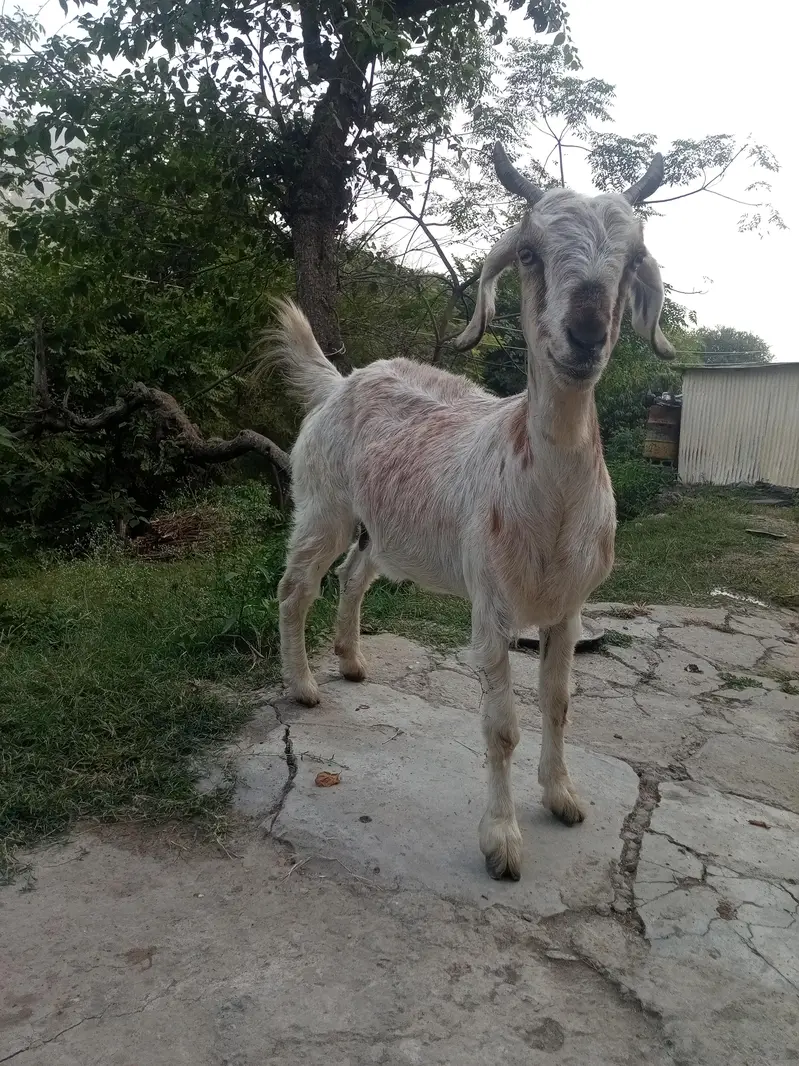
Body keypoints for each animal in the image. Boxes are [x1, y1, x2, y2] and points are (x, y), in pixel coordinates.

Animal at [268, 141, 673, 880]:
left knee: (354, 573)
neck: (550, 509)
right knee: (296, 585)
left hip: (386, 527)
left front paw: (562, 798)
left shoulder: (570, 609)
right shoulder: (492, 605)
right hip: (321, 503)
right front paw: (501, 839)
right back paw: (305, 685)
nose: (584, 333)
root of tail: (339, 381)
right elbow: (501, 727)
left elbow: (559, 705)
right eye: (530, 253)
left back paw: (350, 659)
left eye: (633, 259)